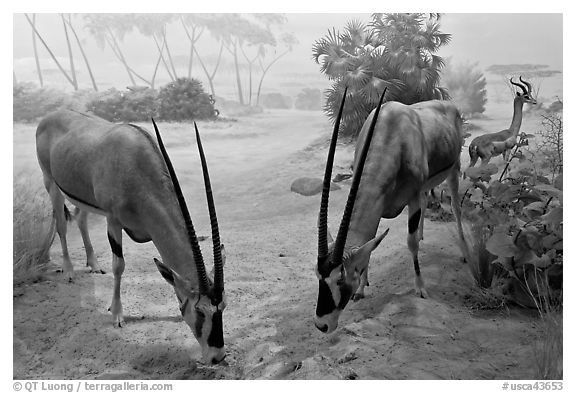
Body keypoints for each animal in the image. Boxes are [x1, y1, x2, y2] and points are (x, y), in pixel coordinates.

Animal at [35, 108, 228, 362]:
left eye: (223, 306)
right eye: (200, 310)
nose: (218, 356)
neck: (137, 167)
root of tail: (51, 115)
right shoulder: (113, 220)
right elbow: (119, 265)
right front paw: (117, 314)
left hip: (82, 197)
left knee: (81, 219)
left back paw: (93, 264)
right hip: (51, 184)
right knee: (61, 225)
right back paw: (68, 271)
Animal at [312, 89, 470, 334]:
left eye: (340, 279)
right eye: (318, 275)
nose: (322, 325)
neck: (390, 136)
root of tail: (449, 105)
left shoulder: (412, 198)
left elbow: (410, 243)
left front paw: (420, 288)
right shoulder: (384, 203)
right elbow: (371, 245)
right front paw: (362, 289)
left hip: (453, 170)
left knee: (455, 207)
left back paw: (463, 251)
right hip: (426, 185)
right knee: (427, 201)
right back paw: (424, 233)